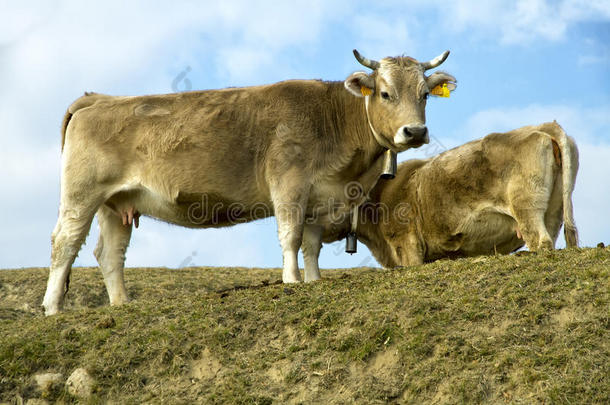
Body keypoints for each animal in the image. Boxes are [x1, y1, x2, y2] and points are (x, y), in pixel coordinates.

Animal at [42, 48, 456, 312]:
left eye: (425, 94)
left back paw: (122, 305)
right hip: (82, 195)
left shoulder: (318, 198)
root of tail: (99, 98)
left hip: (117, 203)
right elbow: (290, 236)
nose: (415, 131)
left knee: (110, 254)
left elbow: (311, 245)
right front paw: (291, 281)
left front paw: (313, 280)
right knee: (65, 244)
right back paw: (52, 308)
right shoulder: (289, 183)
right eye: (385, 93)